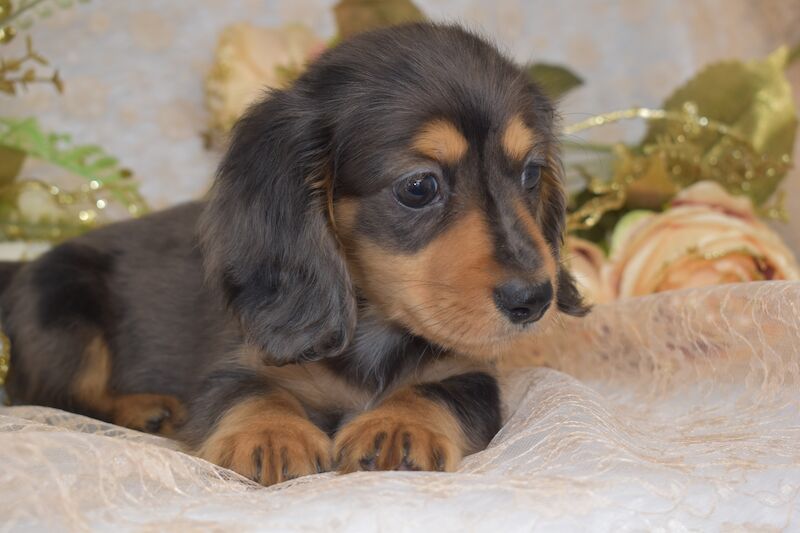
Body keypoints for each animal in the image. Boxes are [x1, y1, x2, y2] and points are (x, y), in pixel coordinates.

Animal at [0, 22, 588, 484]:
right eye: (420, 187)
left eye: (530, 174)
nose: (534, 300)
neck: (372, 328)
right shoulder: (236, 360)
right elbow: (250, 391)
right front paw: (271, 433)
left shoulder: (469, 371)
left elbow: (438, 391)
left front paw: (399, 423)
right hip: (61, 304)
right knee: (51, 395)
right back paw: (145, 409)